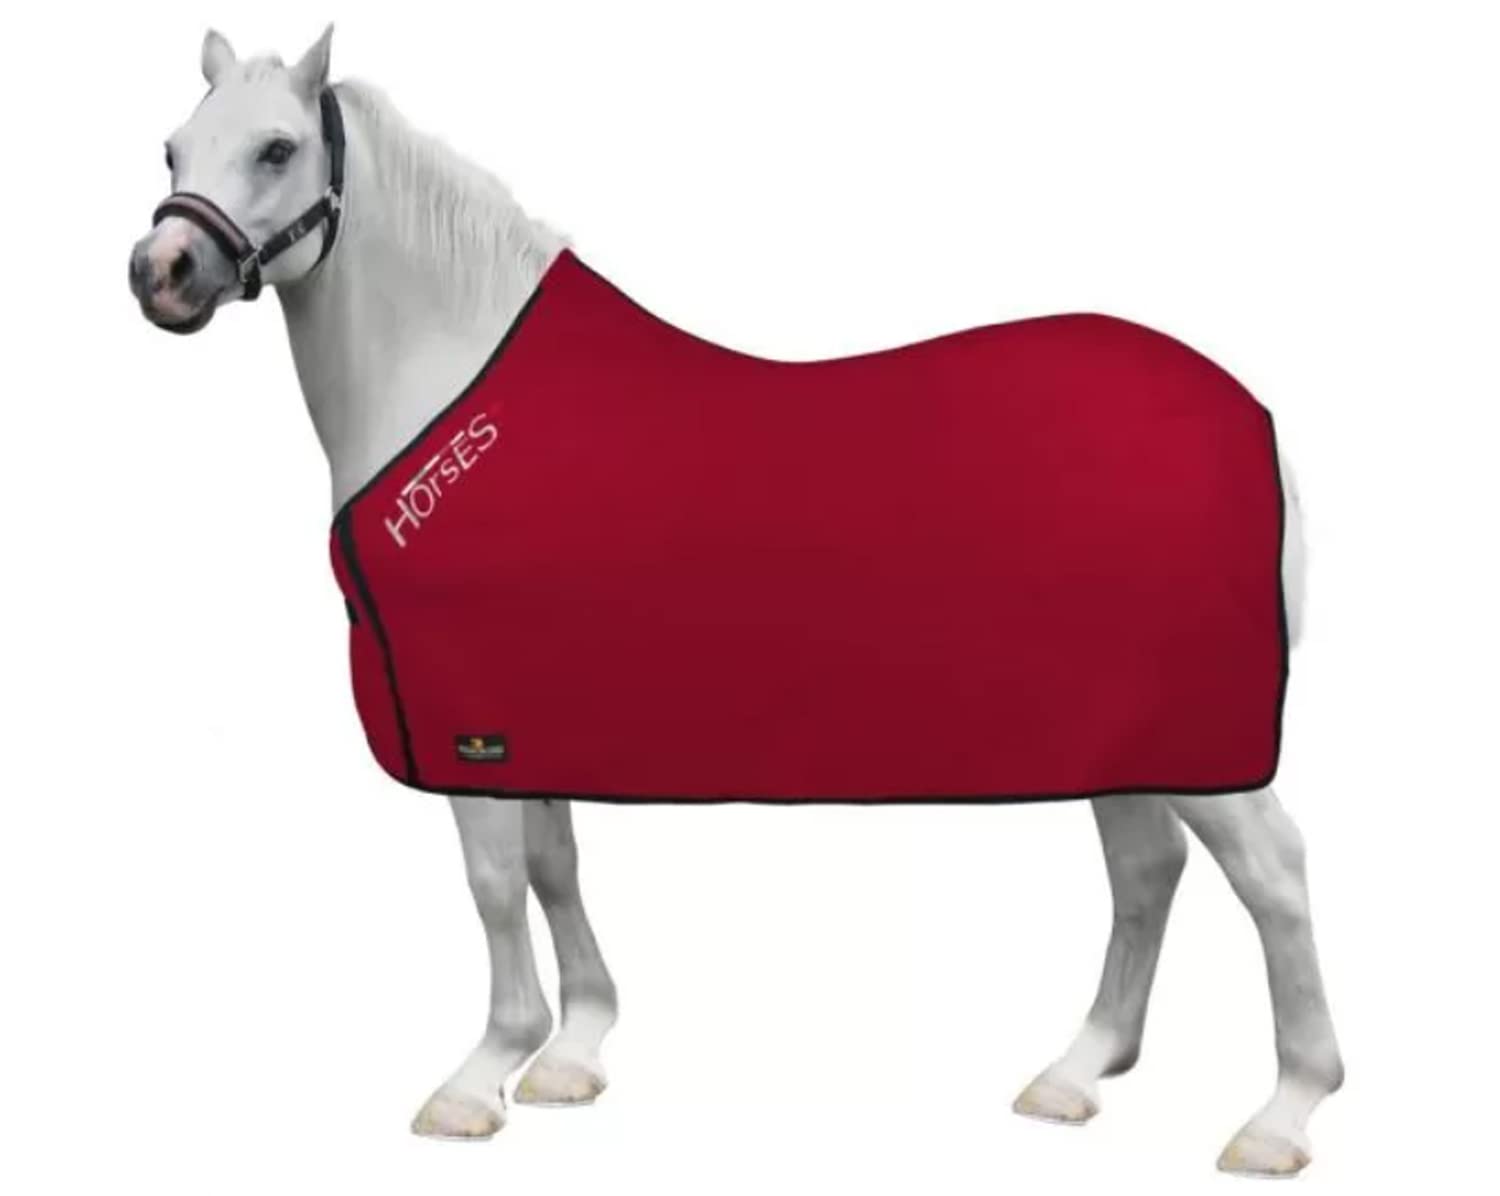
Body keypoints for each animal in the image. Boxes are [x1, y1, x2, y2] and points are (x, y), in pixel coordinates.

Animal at [126, 27, 1343, 1177]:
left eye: (277, 149)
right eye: (176, 149)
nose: (161, 271)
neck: (449, 377)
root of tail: (1249, 416)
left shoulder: (465, 716)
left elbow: (493, 881)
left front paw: (482, 1075)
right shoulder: (526, 715)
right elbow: (553, 864)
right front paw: (572, 1050)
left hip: (1200, 739)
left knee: (1274, 874)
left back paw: (1283, 1112)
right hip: (1126, 734)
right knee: (1146, 871)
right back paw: (1077, 1069)